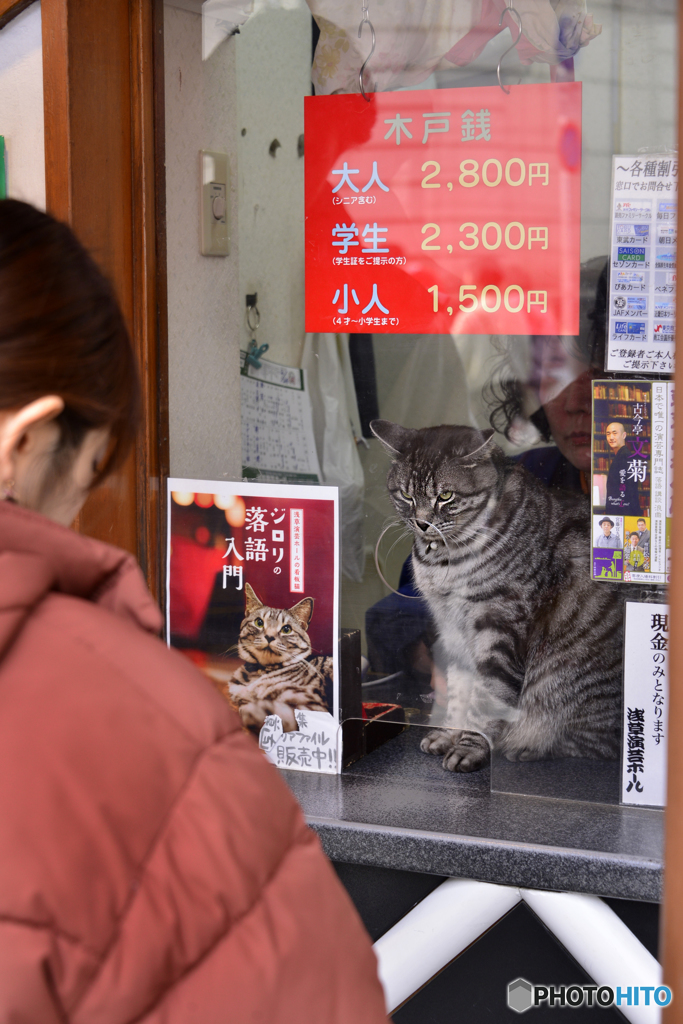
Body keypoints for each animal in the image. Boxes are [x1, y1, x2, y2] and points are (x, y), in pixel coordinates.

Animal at [370, 419, 622, 770]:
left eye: (445, 496)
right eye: (406, 494)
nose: (421, 524)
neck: (443, 560)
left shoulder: (498, 627)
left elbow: (487, 701)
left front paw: (470, 747)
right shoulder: (452, 630)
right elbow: (459, 693)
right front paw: (448, 734)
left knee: (595, 744)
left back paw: (527, 746)